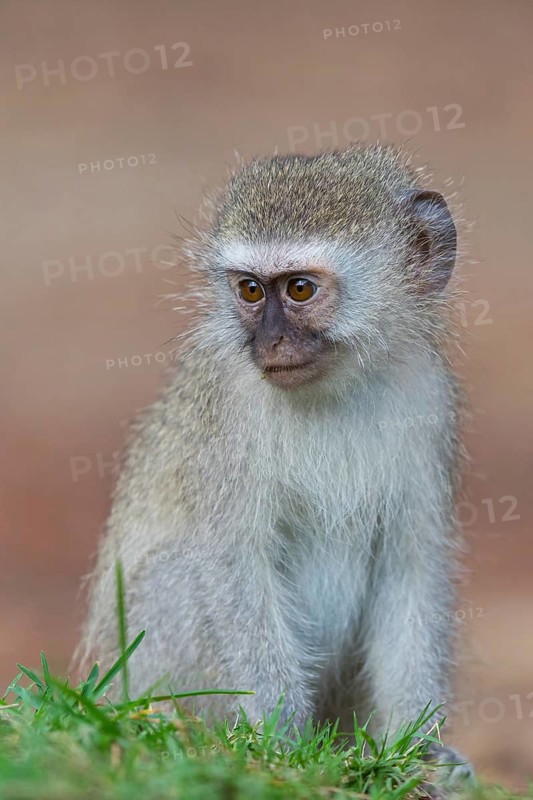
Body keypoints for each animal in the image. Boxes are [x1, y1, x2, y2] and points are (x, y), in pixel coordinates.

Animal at [80, 144, 474, 790]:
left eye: (299, 289)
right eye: (249, 291)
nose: (269, 344)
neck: (333, 388)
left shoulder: (428, 397)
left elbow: (409, 563)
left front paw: (417, 751)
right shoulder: (228, 411)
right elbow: (232, 561)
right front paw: (281, 744)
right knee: (180, 572)